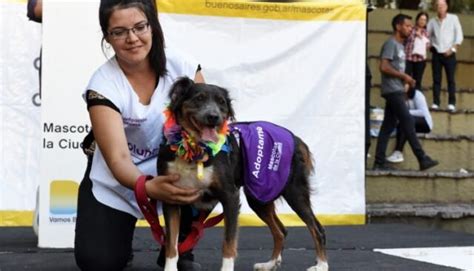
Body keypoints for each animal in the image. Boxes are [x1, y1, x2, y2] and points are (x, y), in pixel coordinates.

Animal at [157, 77, 328, 271]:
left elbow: (228, 243)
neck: (195, 147)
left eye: (222, 103)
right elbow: (171, 244)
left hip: (294, 191)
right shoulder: (170, 197)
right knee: (281, 231)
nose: (214, 117)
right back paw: (269, 264)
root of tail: (297, 139)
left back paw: (321, 265)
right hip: (259, 195)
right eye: (199, 98)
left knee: (317, 229)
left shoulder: (230, 196)